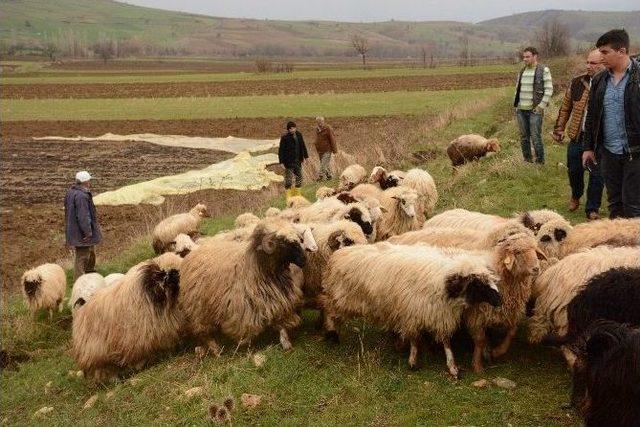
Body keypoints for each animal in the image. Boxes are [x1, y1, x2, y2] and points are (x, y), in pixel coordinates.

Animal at [72, 254, 182, 382]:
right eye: (161, 275)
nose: (175, 272)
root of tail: (80, 311)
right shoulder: (136, 337)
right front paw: (142, 365)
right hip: (97, 352)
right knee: (104, 369)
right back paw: (114, 379)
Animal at [178, 219, 312, 352]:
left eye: (298, 240)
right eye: (283, 242)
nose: (304, 259)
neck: (256, 267)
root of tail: (192, 253)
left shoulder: (279, 300)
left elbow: (282, 324)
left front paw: (286, 343)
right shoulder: (243, 307)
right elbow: (246, 331)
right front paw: (244, 346)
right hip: (198, 308)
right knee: (203, 331)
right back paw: (215, 349)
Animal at [320, 242, 500, 376]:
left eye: (492, 280)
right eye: (478, 284)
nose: (499, 300)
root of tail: (338, 254)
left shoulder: (439, 314)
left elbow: (445, 341)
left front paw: (452, 366)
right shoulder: (412, 313)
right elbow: (414, 339)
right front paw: (413, 361)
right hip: (341, 297)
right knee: (328, 308)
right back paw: (332, 333)